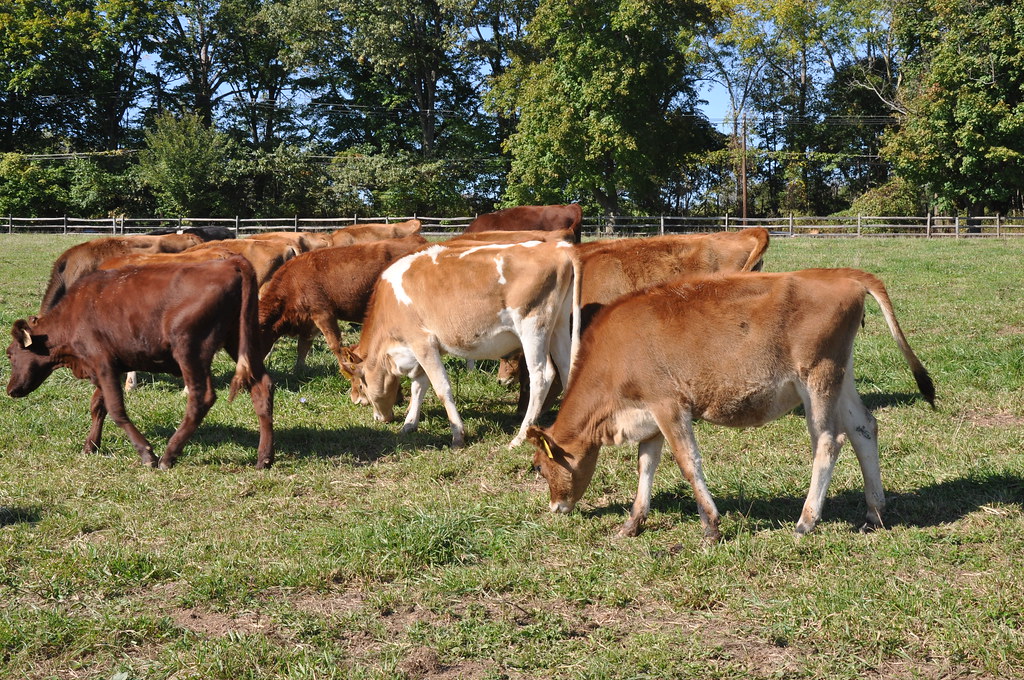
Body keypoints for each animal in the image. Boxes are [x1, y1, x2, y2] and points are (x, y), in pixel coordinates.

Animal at [6, 256, 275, 469]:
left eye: (9, 353)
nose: (10, 390)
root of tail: (229, 263)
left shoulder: (101, 362)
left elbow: (116, 409)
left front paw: (147, 453)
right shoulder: (108, 366)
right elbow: (98, 405)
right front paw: (90, 445)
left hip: (190, 349)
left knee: (202, 398)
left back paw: (169, 455)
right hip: (240, 341)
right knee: (262, 387)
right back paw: (264, 458)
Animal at [258, 234, 429, 371]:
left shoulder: (323, 313)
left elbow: (335, 344)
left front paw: (345, 368)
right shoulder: (309, 319)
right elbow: (303, 345)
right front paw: (298, 369)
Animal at [339, 240, 581, 448]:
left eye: (361, 384)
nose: (375, 415)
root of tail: (557, 247)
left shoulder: (422, 342)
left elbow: (441, 388)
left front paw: (457, 435)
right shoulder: (426, 349)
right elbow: (419, 386)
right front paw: (409, 424)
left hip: (532, 326)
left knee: (541, 376)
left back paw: (520, 437)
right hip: (559, 325)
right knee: (567, 369)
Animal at [527, 268, 935, 541]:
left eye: (540, 466)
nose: (555, 507)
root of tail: (842, 274)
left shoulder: (669, 404)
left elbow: (688, 462)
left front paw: (710, 524)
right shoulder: (649, 412)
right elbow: (646, 465)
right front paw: (632, 522)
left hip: (817, 376)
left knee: (829, 440)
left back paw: (806, 520)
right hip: (841, 373)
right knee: (864, 427)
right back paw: (874, 513)